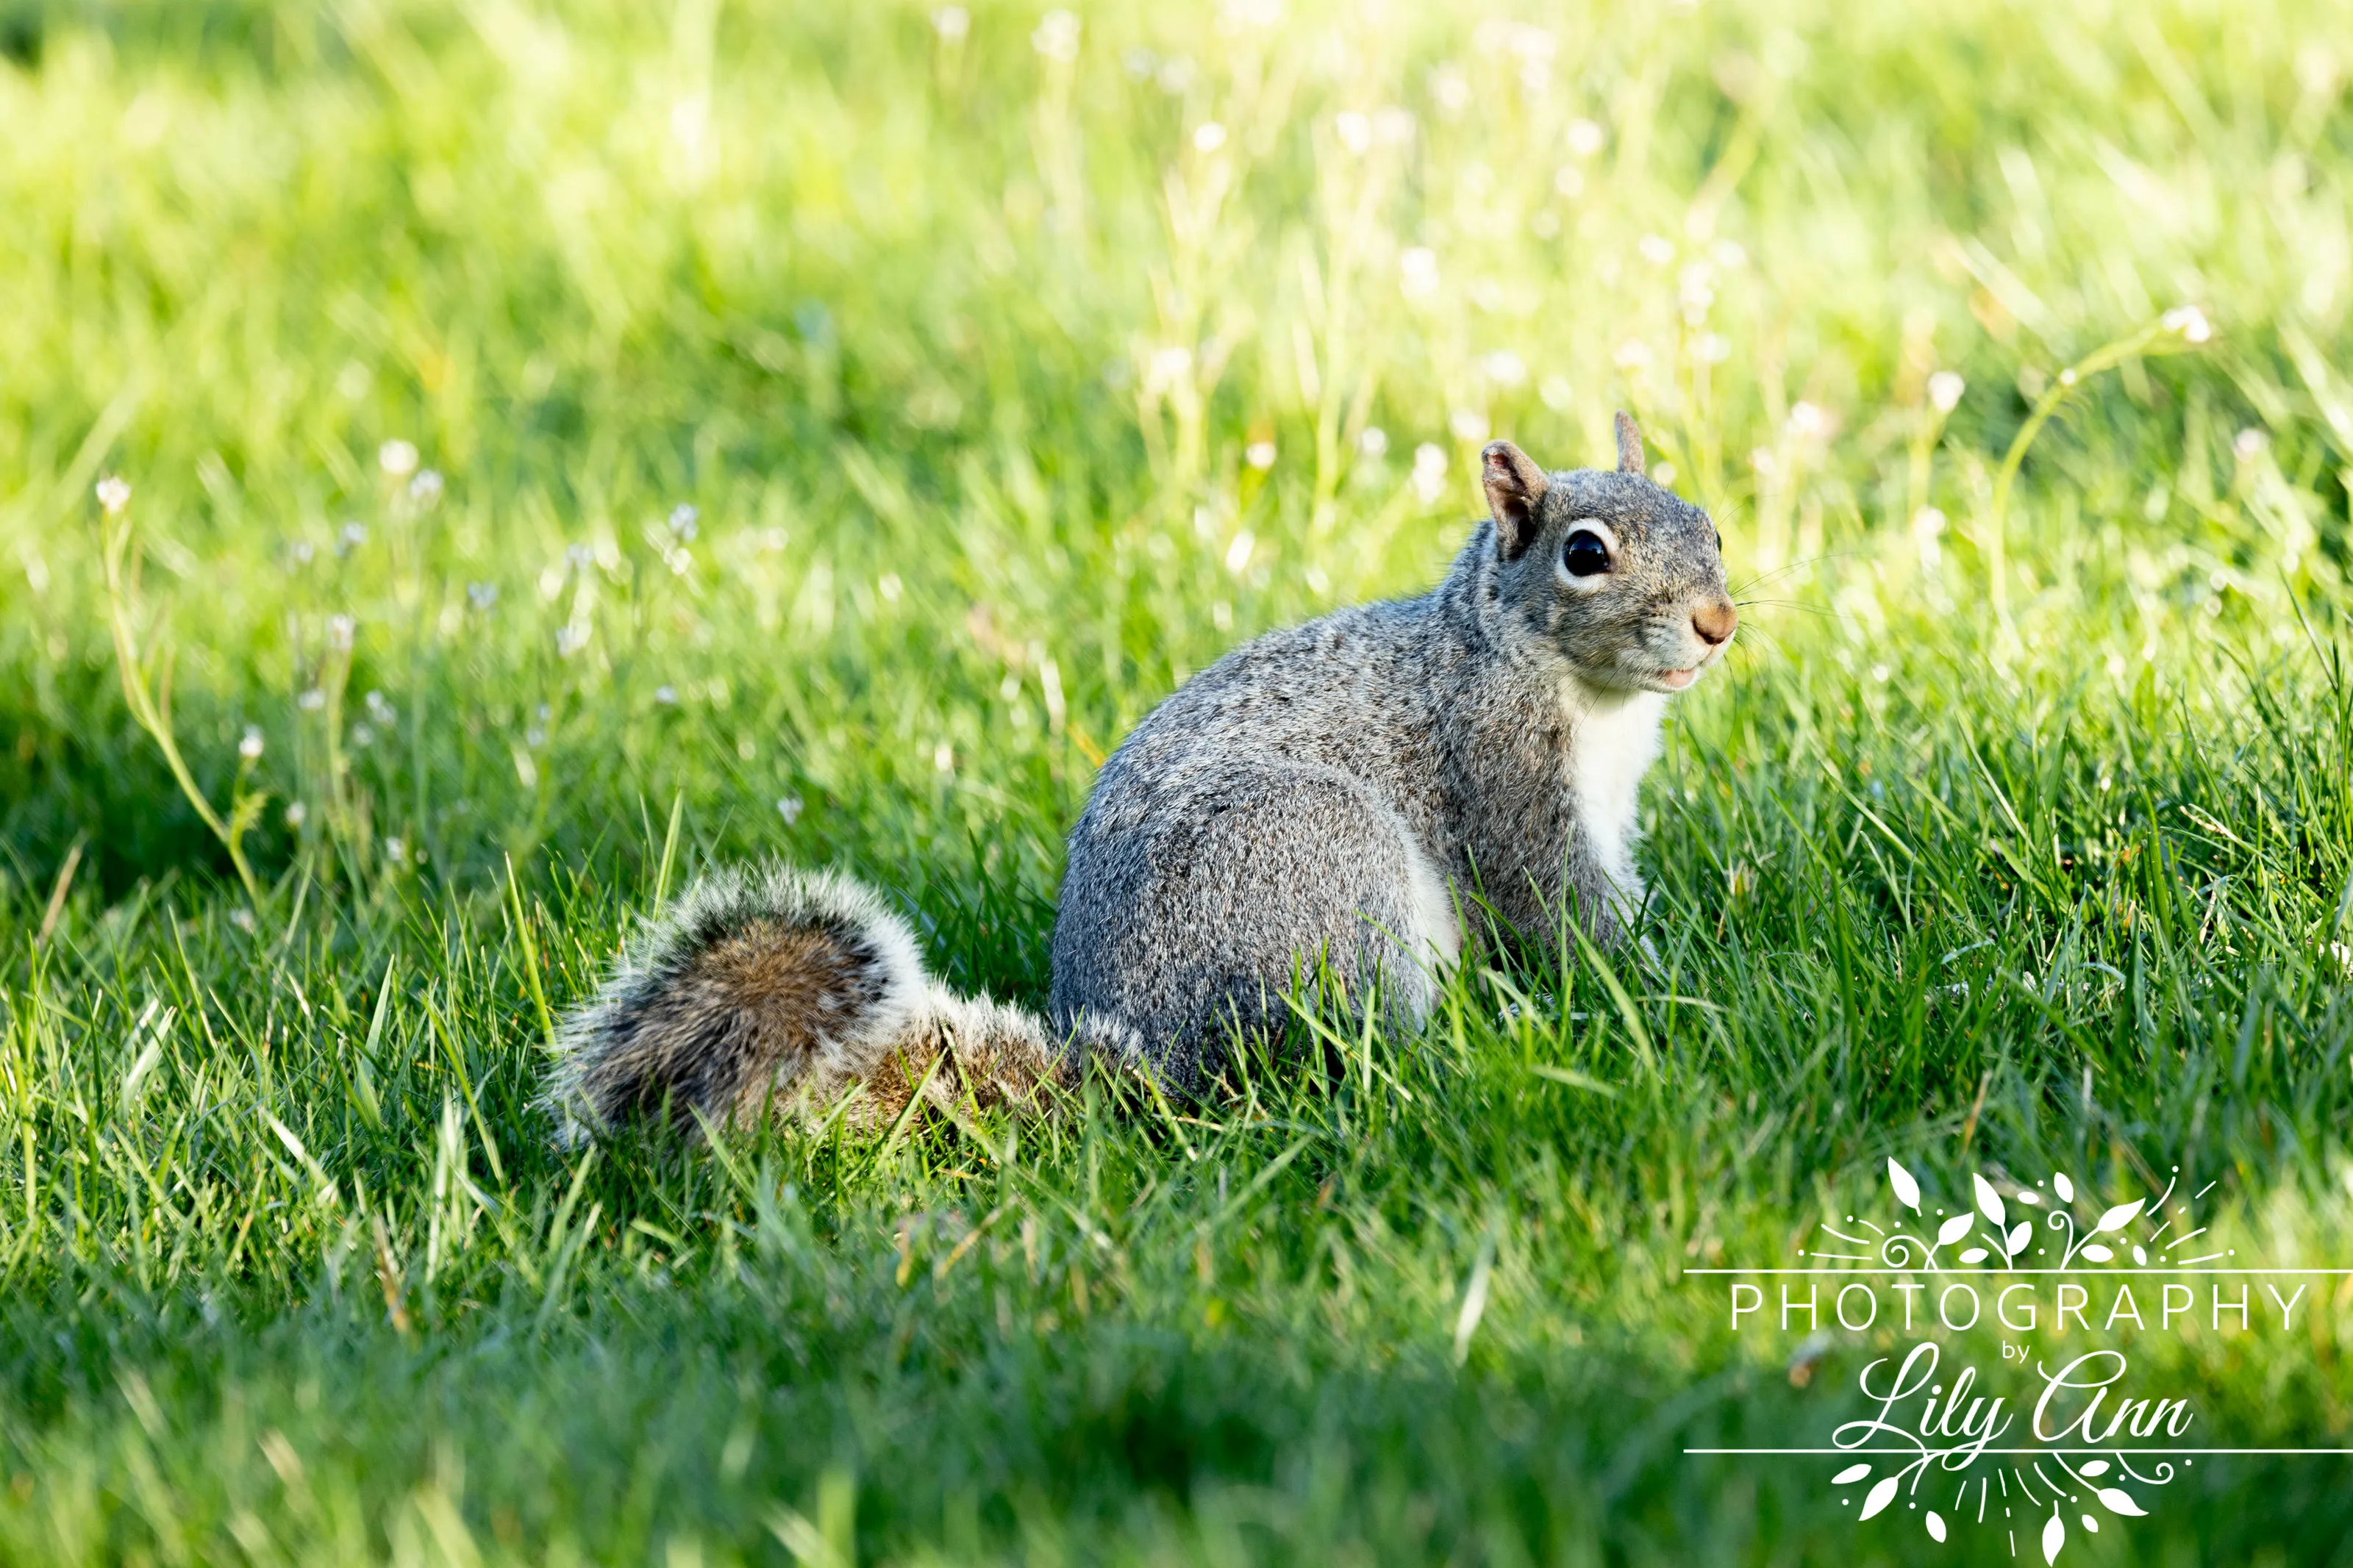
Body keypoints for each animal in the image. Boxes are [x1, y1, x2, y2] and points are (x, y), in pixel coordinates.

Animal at [546, 414, 1736, 1141]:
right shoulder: (1504, 773)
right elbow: (1558, 905)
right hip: (1316, 856)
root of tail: (1156, 1063)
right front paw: (1669, 987)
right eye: (1584, 554)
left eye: (1711, 525)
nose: (1718, 624)